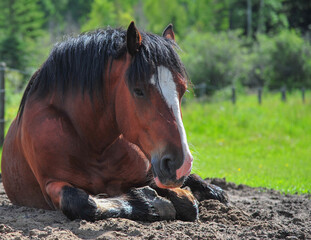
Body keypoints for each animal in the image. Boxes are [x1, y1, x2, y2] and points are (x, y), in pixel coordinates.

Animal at [1, 22, 228, 221]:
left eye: (182, 90)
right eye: (138, 90)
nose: (179, 164)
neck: (91, 141)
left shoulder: (150, 173)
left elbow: (187, 202)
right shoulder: (51, 184)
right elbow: (82, 203)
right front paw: (148, 202)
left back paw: (215, 191)